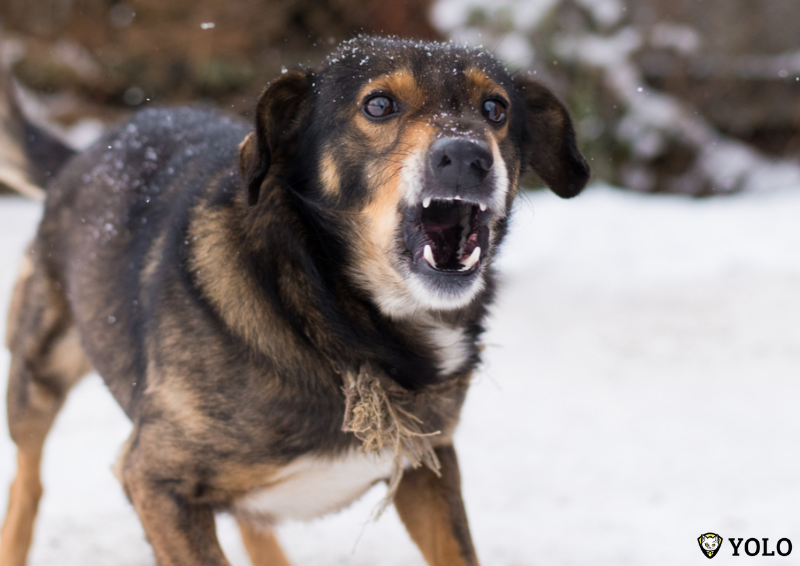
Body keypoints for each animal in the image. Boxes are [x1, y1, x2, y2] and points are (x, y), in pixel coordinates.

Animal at [0, 36, 588, 566]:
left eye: (495, 109)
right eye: (379, 105)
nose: (467, 156)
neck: (331, 318)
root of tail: (85, 153)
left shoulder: (427, 462)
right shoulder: (154, 478)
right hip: (39, 371)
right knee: (29, 480)